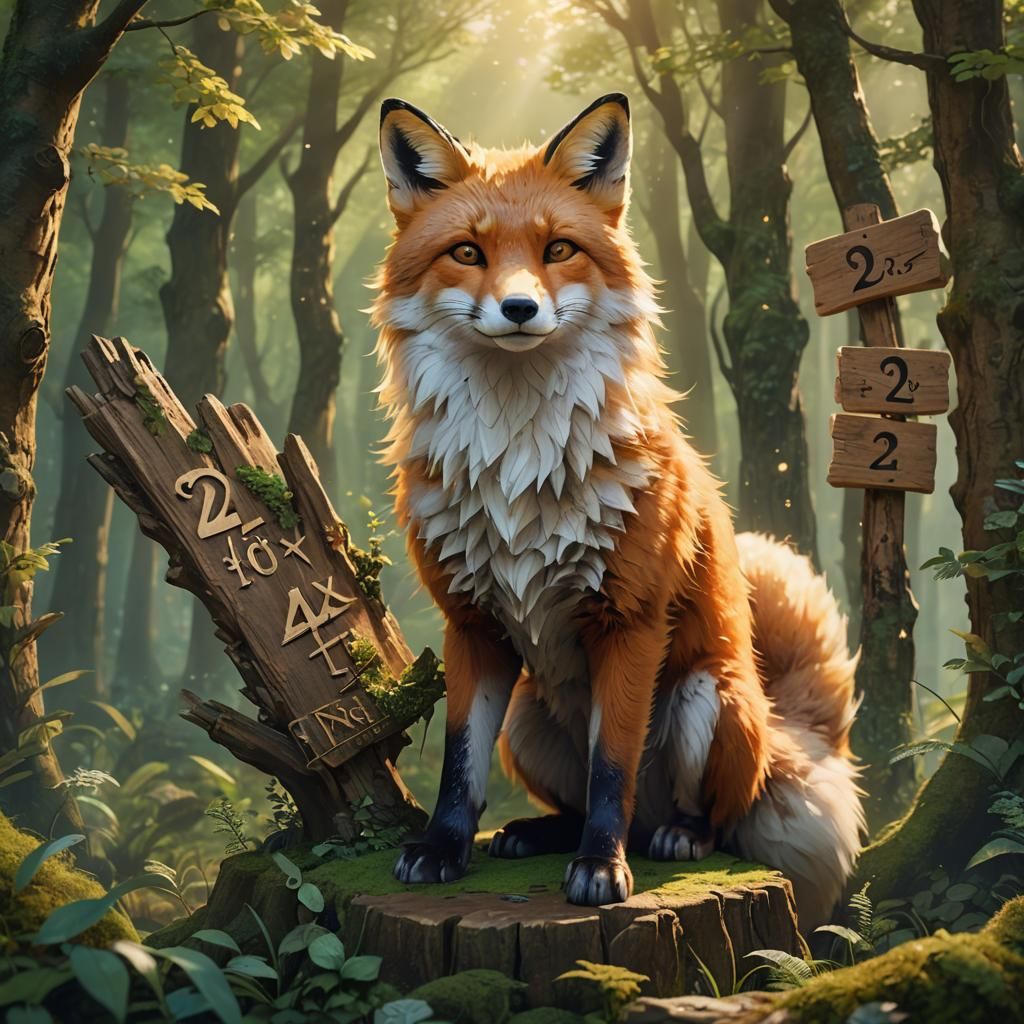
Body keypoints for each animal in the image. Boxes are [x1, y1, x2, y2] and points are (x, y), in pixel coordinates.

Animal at [371, 92, 864, 926]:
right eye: (467, 253)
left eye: (559, 248)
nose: (519, 307)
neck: (518, 461)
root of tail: (783, 737)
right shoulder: (471, 625)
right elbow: (460, 767)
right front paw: (442, 850)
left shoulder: (629, 620)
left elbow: (612, 766)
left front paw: (601, 869)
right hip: (529, 717)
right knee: (571, 797)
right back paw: (535, 834)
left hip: (704, 696)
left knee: (700, 813)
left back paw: (673, 837)